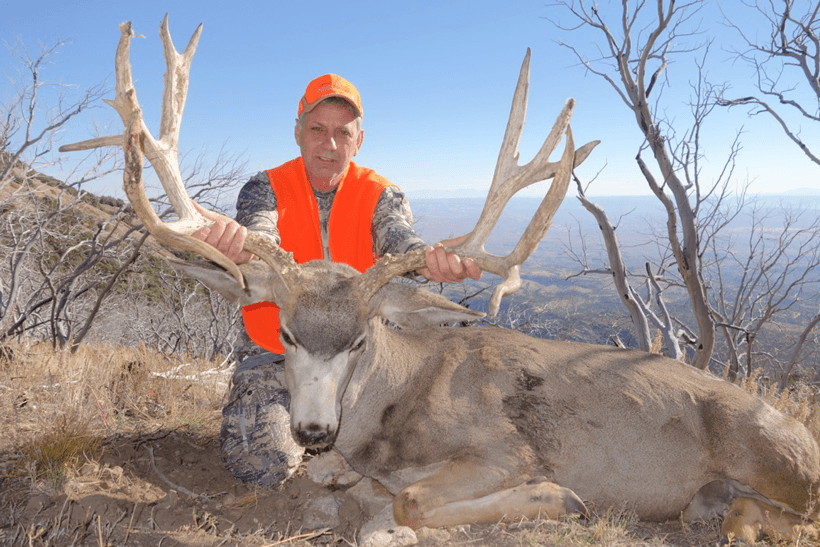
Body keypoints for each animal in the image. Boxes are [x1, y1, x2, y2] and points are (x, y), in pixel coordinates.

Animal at [61, 16, 820, 545]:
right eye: (285, 331)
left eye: (361, 339)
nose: (312, 428)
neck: (389, 416)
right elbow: (345, 480)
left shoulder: (503, 446)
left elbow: (413, 497)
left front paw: (560, 498)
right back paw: (727, 514)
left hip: (772, 451)